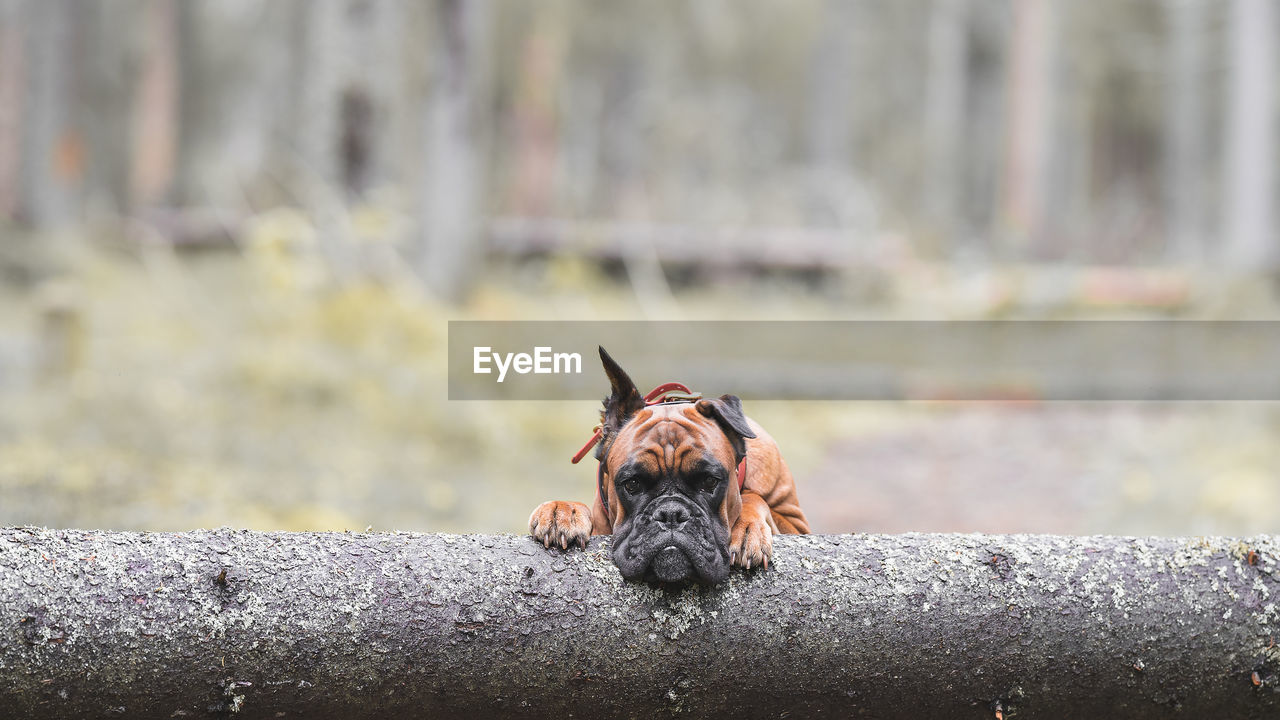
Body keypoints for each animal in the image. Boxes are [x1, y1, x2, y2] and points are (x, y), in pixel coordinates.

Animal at [529, 345, 808, 584]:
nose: (671, 514)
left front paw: (747, 530)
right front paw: (562, 511)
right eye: (632, 484)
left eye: (709, 481)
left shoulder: (797, 525)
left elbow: (753, 499)